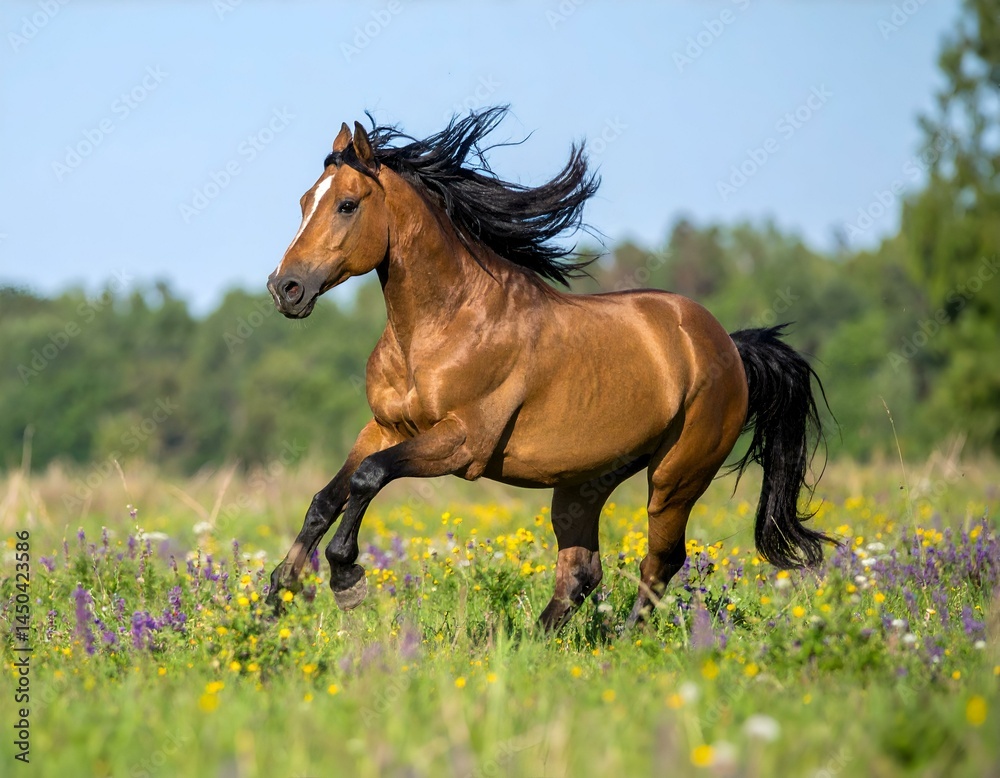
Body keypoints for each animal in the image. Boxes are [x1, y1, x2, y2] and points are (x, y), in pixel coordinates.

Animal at [264, 107, 833, 630]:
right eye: (304, 202)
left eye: (347, 204)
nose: (285, 288)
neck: (441, 327)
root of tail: (728, 347)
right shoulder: (385, 427)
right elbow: (327, 497)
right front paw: (276, 596)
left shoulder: (461, 442)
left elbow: (368, 477)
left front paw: (346, 579)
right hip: (585, 481)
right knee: (581, 572)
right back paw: (529, 643)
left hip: (676, 477)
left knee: (661, 560)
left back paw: (626, 640)